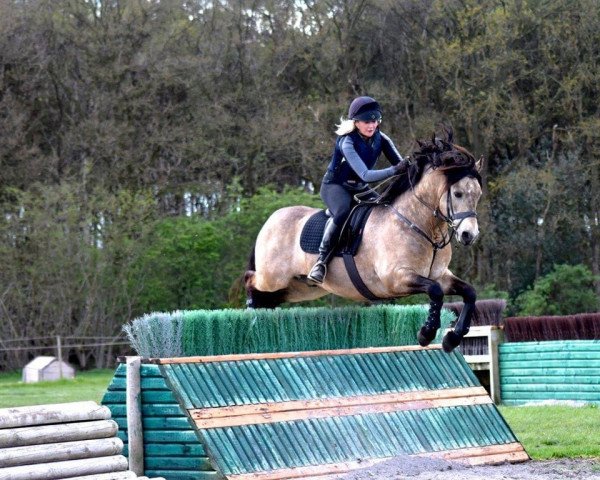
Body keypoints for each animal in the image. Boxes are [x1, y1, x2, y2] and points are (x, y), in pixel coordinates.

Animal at [244, 130, 482, 352]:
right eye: (458, 193)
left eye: (478, 195)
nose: (469, 235)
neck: (420, 226)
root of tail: (270, 220)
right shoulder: (396, 279)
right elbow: (435, 291)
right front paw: (426, 333)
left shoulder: (440, 275)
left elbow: (469, 292)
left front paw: (452, 339)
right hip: (273, 278)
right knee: (251, 280)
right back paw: (249, 308)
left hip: (301, 288)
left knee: (271, 298)